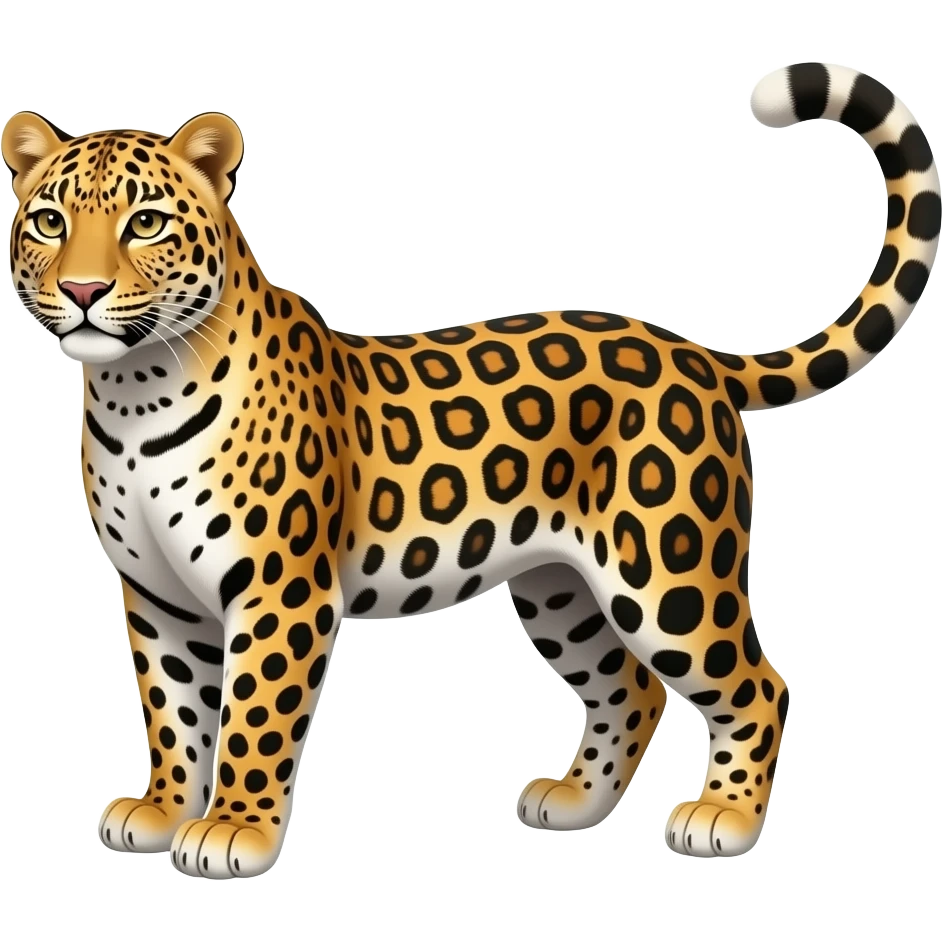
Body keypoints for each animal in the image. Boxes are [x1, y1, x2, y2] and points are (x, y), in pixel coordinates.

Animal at [3, 62, 940, 877]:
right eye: (49, 221)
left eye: (147, 223)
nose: (82, 292)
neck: (135, 391)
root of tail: (696, 355)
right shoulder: (155, 594)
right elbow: (173, 710)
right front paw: (163, 808)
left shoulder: (279, 590)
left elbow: (252, 718)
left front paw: (233, 828)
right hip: (560, 588)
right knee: (629, 688)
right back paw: (575, 801)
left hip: (666, 574)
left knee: (757, 683)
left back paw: (725, 818)